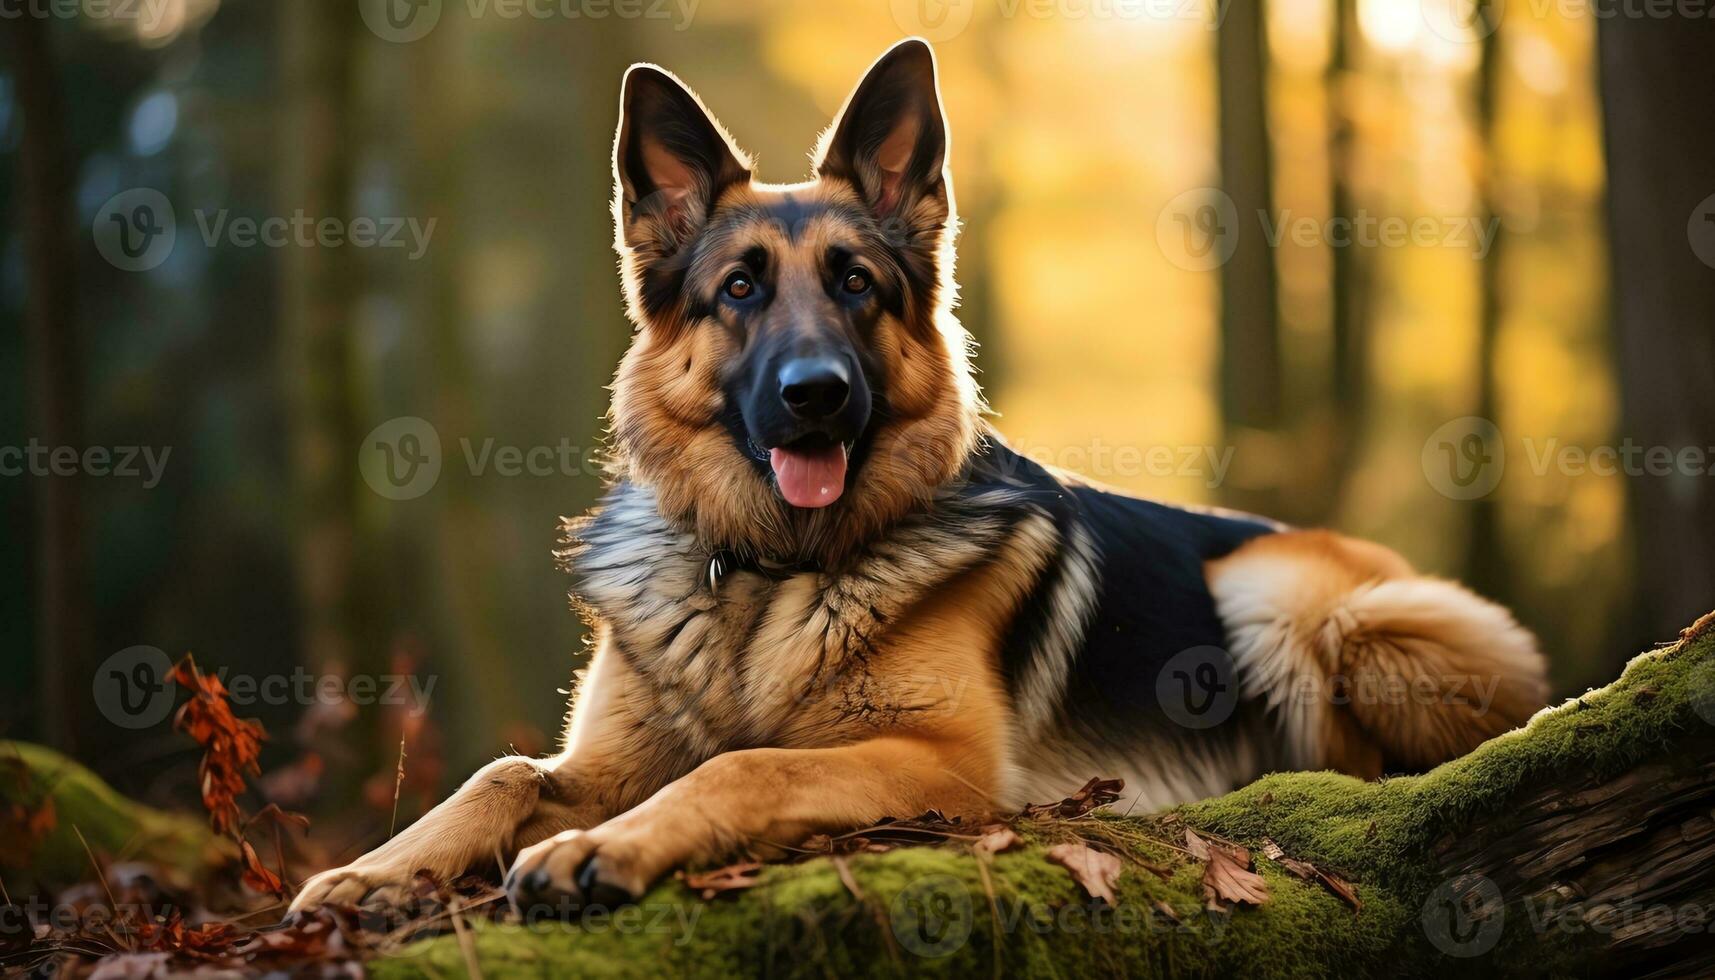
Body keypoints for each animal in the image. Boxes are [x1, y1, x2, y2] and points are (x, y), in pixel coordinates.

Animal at [294, 36, 1557, 913]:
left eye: (855, 283)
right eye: (739, 289)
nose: (815, 393)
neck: (767, 573)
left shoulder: (941, 760)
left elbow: (743, 765)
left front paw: (603, 847)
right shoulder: (601, 754)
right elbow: (501, 771)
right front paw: (373, 871)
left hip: (1290, 596)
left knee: (1362, 762)